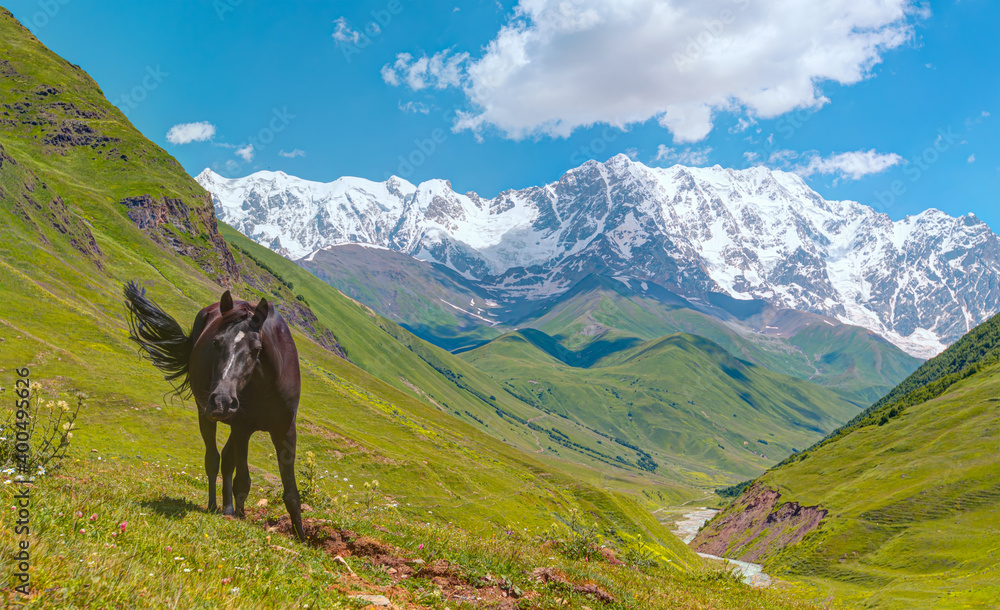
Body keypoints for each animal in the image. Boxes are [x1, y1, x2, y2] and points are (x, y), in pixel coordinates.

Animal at [121, 280, 302, 536]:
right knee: (214, 460)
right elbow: (242, 481)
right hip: (206, 416)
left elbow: (291, 494)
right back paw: (215, 506)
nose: (222, 401)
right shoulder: (242, 428)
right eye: (216, 343)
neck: (268, 385)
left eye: (257, 349)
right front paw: (239, 516)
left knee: (225, 459)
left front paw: (301, 536)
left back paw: (226, 509)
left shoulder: (285, 431)